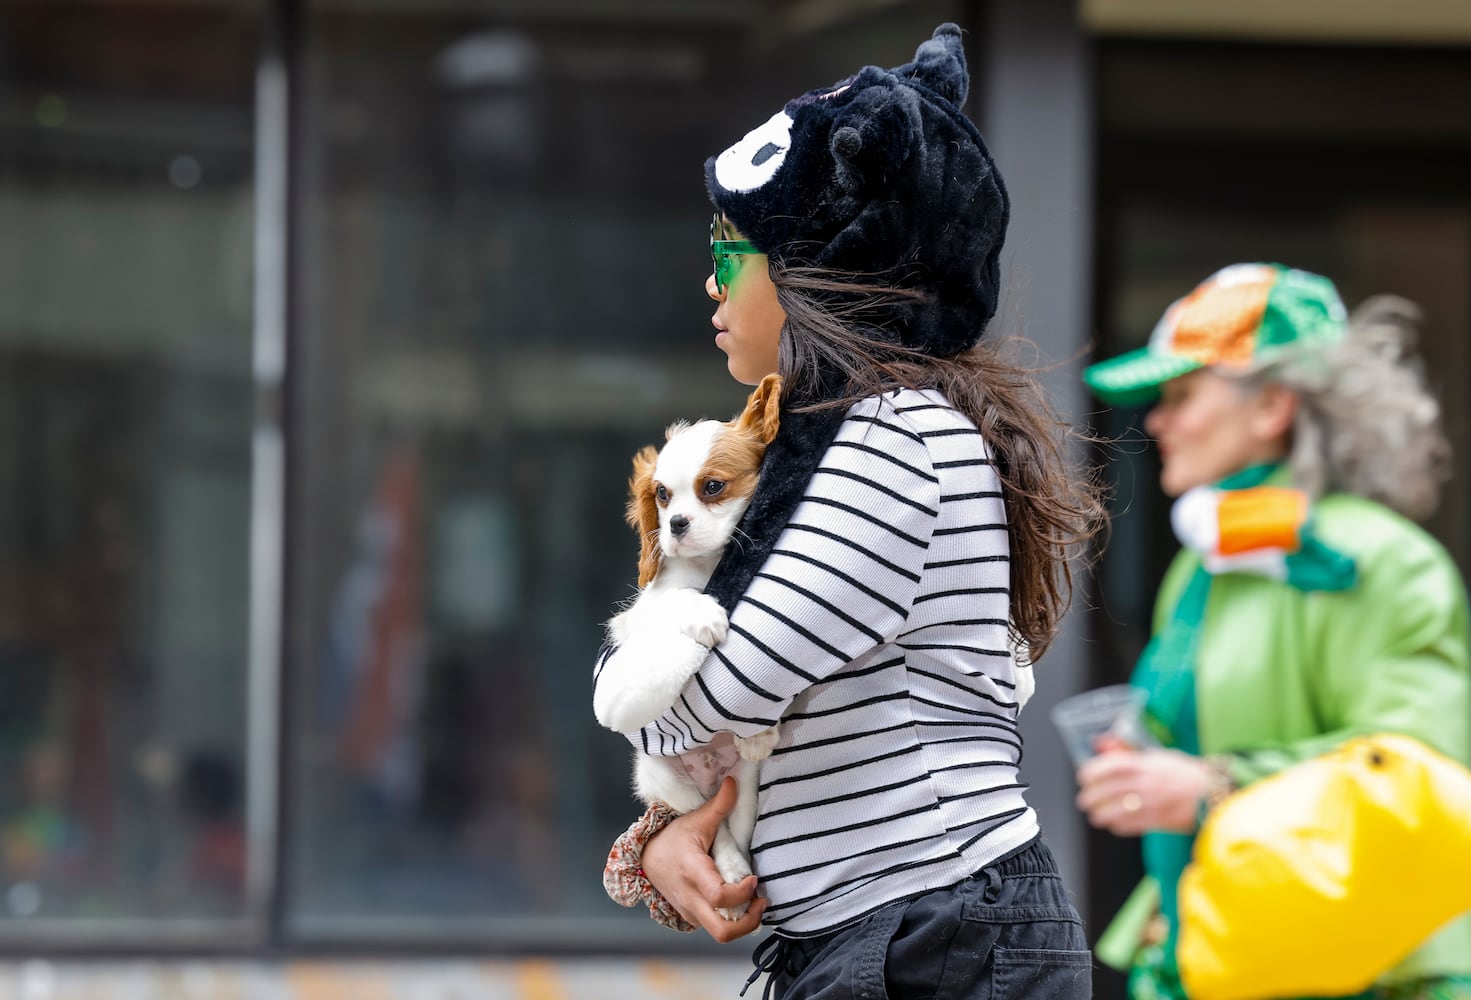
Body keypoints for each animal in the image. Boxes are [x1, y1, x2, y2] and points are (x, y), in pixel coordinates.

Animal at [594, 370, 788, 911]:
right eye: (662, 495)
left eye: (713, 487)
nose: (676, 524)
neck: (707, 566)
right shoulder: (643, 613)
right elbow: (679, 601)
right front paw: (704, 614)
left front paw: (761, 731)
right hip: (666, 780)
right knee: (711, 828)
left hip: (743, 789)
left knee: (731, 829)